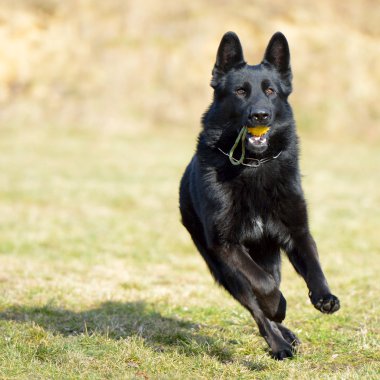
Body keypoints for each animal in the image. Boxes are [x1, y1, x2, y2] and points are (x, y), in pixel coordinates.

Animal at [180, 30, 340, 360]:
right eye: (240, 91)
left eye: (270, 91)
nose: (260, 115)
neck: (253, 167)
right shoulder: (226, 245)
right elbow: (262, 287)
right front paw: (277, 306)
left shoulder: (297, 232)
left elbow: (314, 265)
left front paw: (324, 296)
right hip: (224, 270)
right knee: (255, 306)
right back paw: (279, 343)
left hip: (269, 256)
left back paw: (286, 335)